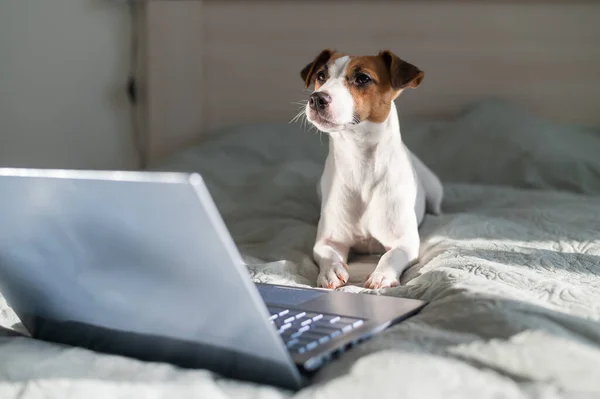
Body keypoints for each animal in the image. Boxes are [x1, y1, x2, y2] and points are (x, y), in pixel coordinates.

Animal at [300, 50, 446, 290]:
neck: (361, 163)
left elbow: (391, 255)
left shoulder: (405, 242)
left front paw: (382, 275)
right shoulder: (329, 240)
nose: (316, 99)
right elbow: (327, 253)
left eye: (363, 78)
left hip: (435, 189)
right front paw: (331, 271)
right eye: (321, 75)